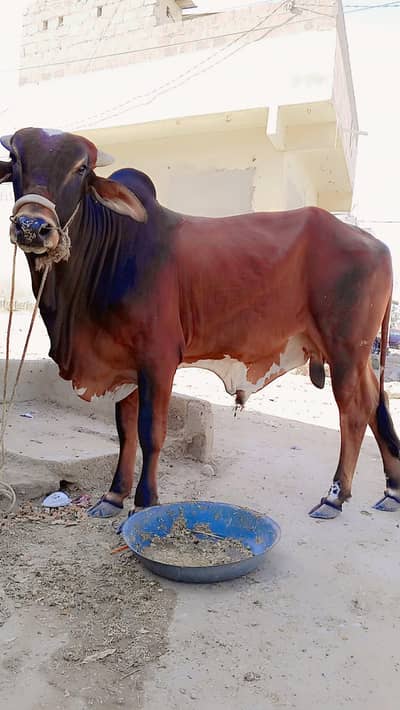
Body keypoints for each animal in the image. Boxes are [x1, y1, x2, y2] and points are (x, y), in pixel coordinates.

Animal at [1, 126, 399, 521]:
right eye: (16, 159)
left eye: (81, 168)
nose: (32, 226)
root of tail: (377, 243)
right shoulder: (124, 363)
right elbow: (125, 431)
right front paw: (114, 495)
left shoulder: (158, 359)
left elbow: (150, 432)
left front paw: (144, 502)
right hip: (352, 355)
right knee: (376, 401)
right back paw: (391, 490)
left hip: (345, 349)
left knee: (353, 411)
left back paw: (335, 496)